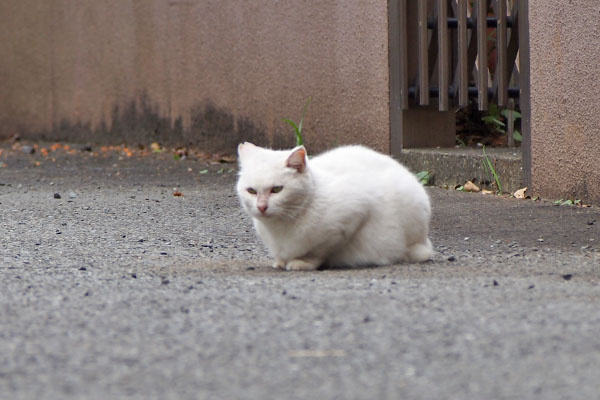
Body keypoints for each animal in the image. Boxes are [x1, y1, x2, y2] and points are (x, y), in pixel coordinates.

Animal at [237, 142, 434, 270]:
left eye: (277, 189)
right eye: (252, 191)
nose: (262, 207)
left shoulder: (353, 215)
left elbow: (318, 251)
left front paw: (302, 262)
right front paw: (280, 261)